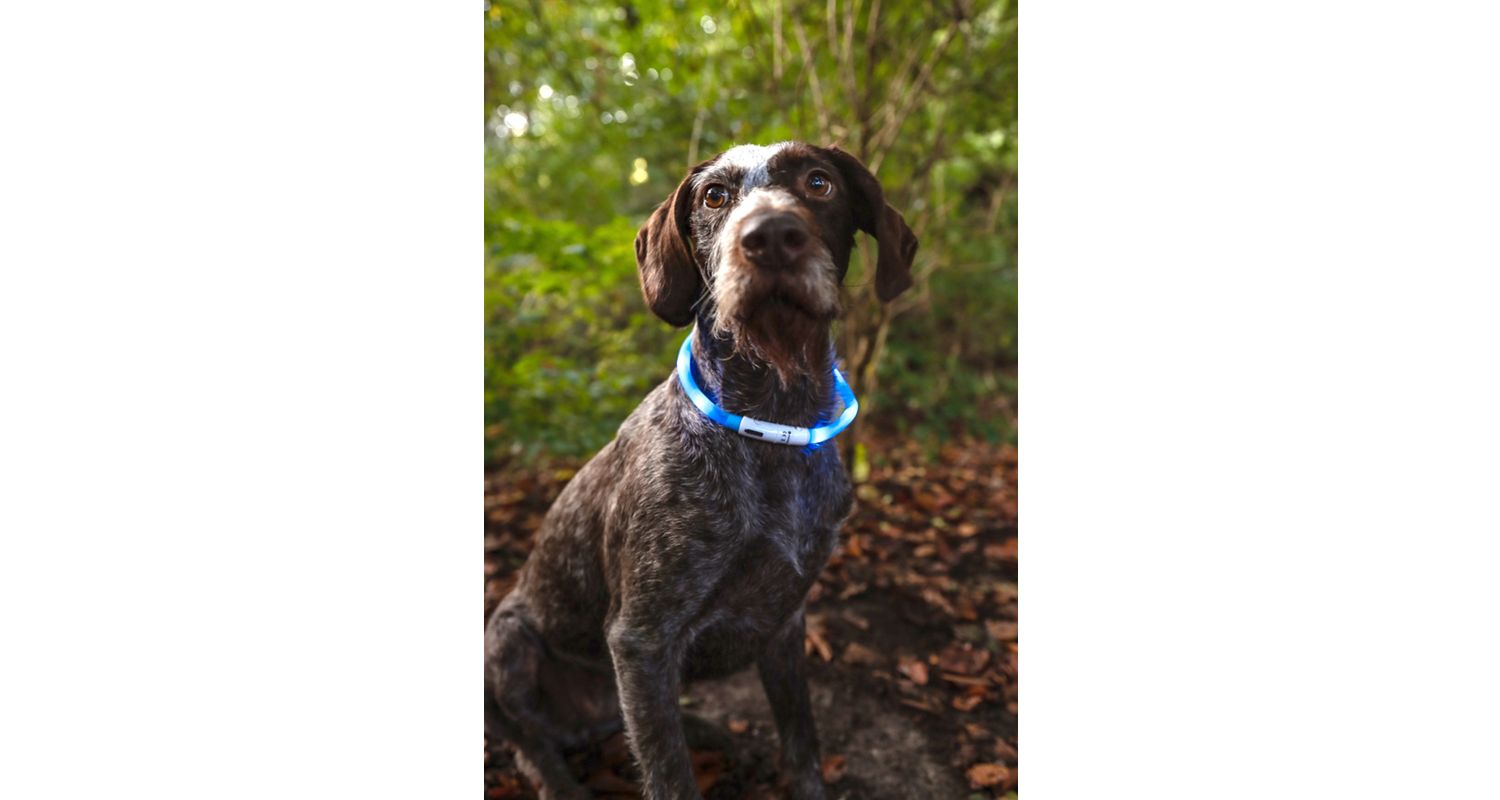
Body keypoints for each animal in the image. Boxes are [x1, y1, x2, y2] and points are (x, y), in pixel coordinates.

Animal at [485, 141, 917, 800]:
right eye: (715, 196)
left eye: (819, 183)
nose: (771, 236)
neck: (773, 419)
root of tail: (584, 726)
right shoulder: (643, 641)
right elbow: (669, 775)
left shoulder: (785, 622)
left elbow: (802, 743)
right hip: (508, 645)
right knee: (530, 745)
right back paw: (561, 780)